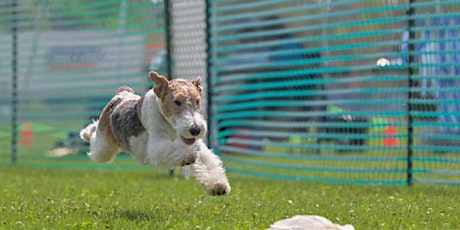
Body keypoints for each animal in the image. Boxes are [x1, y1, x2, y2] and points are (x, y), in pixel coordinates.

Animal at [80, 71, 230, 196]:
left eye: (197, 101)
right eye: (177, 101)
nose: (196, 129)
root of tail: (121, 95)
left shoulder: (197, 145)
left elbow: (207, 161)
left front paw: (218, 186)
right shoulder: (156, 146)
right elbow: (176, 150)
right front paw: (188, 156)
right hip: (103, 148)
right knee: (94, 134)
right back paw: (85, 133)